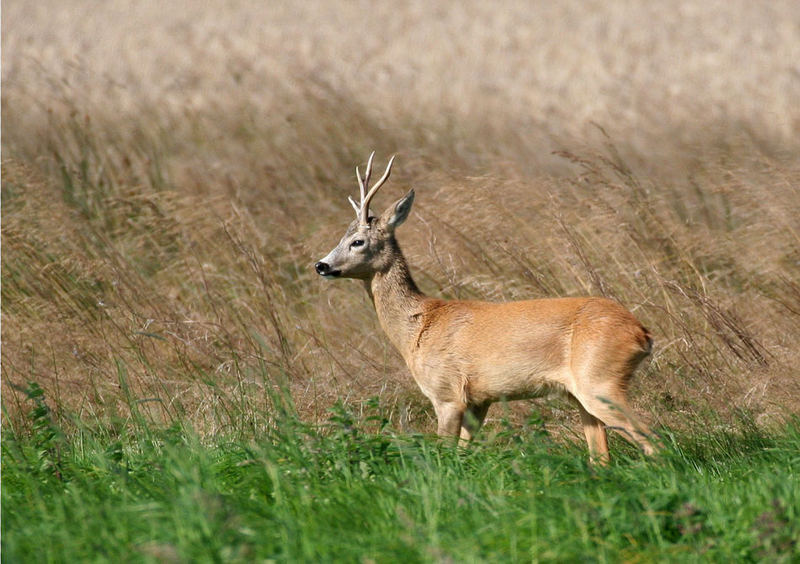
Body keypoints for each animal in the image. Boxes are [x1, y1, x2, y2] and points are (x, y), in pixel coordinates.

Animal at [316, 151, 660, 462]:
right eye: (341, 237)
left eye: (357, 241)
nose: (321, 265)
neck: (418, 325)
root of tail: (641, 333)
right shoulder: (479, 401)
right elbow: (465, 453)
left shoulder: (447, 392)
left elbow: (446, 453)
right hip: (581, 392)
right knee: (601, 455)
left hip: (599, 379)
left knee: (652, 439)